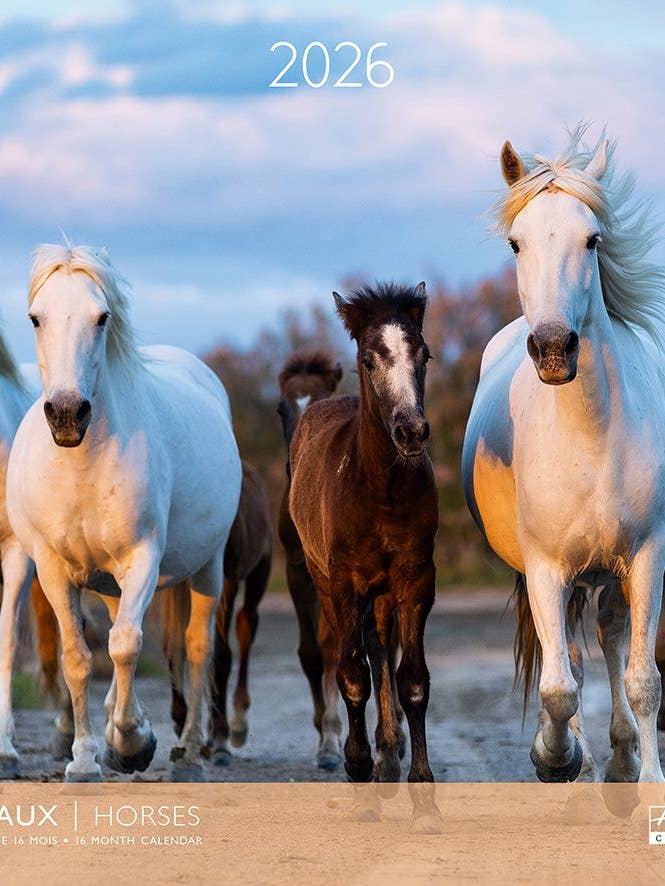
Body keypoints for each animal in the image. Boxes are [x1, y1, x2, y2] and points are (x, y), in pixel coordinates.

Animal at [6, 244, 241, 782]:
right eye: (35, 318)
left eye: (102, 317)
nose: (67, 414)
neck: (80, 465)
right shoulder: (52, 568)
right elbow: (79, 658)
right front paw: (86, 759)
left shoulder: (142, 559)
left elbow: (127, 645)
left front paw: (133, 743)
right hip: (107, 581)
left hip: (208, 567)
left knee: (196, 647)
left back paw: (188, 754)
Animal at [162, 459, 272, 765]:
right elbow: (173, 645)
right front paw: (181, 722)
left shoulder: (226, 580)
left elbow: (221, 655)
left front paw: (220, 735)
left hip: (258, 573)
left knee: (245, 629)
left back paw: (236, 726)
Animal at [289, 283, 441, 832]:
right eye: (369, 359)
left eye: (424, 354)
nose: (412, 432)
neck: (380, 492)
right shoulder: (344, 584)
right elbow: (351, 674)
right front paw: (357, 775)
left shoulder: (416, 581)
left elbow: (411, 678)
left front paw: (423, 799)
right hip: (323, 580)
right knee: (352, 654)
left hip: (383, 594)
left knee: (382, 651)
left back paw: (389, 756)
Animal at [462, 128, 665, 783]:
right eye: (516, 243)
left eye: (592, 239)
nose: (553, 348)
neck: (590, 436)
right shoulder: (547, 570)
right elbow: (557, 689)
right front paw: (555, 758)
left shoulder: (647, 557)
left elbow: (643, 678)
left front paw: (649, 779)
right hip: (563, 578)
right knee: (570, 660)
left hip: (609, 572)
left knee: (610, 637)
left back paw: (623, 759)